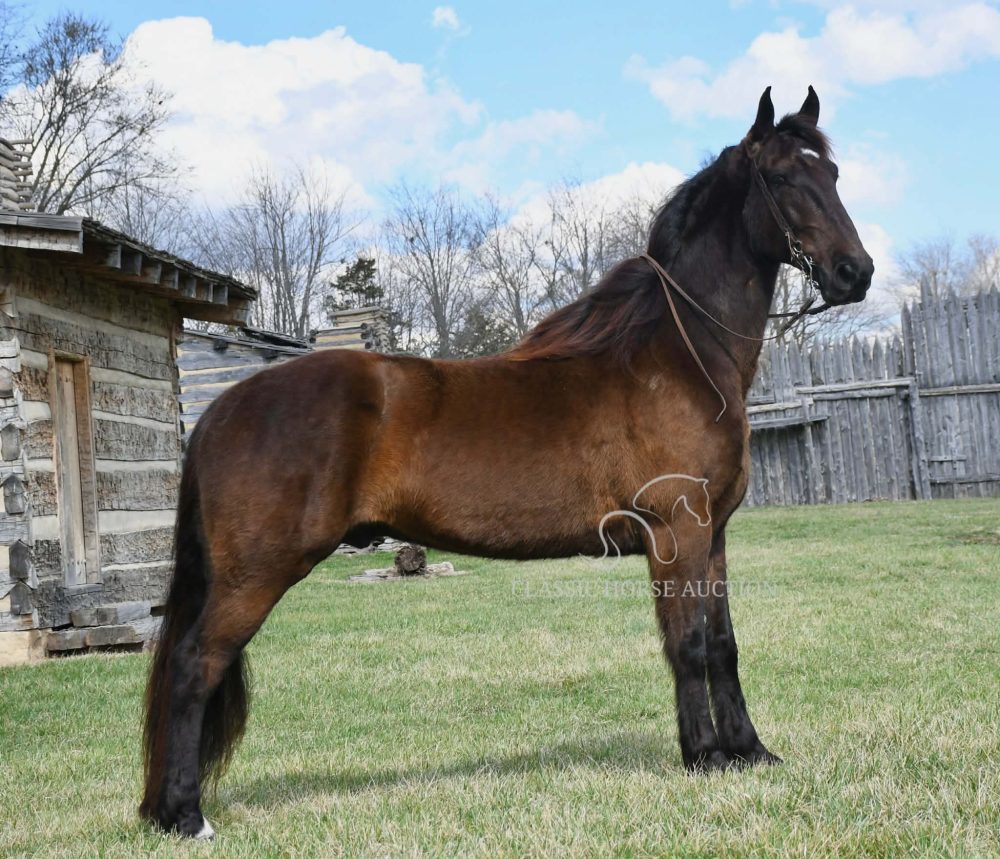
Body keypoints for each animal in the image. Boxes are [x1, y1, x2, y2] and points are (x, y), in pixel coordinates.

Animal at [141, 86, 872, 839]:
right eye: (782, 176)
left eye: (832, 174)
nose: (856, 272)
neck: (679, 354)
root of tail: (222, 410)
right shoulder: (678, 533)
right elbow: (689, 644)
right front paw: (705, 755)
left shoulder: (715, 534)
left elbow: (724, 644)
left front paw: (750, 750)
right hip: (256, 573)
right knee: (195, 665)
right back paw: (184, 815)